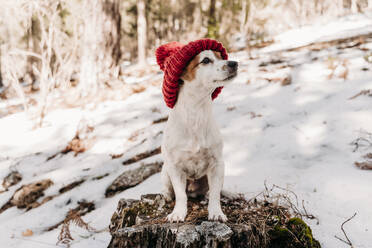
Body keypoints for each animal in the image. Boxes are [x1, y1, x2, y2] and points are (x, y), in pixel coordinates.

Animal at [161, 49, 238, 222]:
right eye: (205, 60)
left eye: (221, 57)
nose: (234, 63)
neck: (196, 112)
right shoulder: (175, 167)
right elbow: (181, 195)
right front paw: (178, 213)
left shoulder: (217, 164)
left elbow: (215, 194)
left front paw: (216, 212)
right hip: (165, 171)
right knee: (170, 190)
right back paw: (165, 195)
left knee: (215, 190)